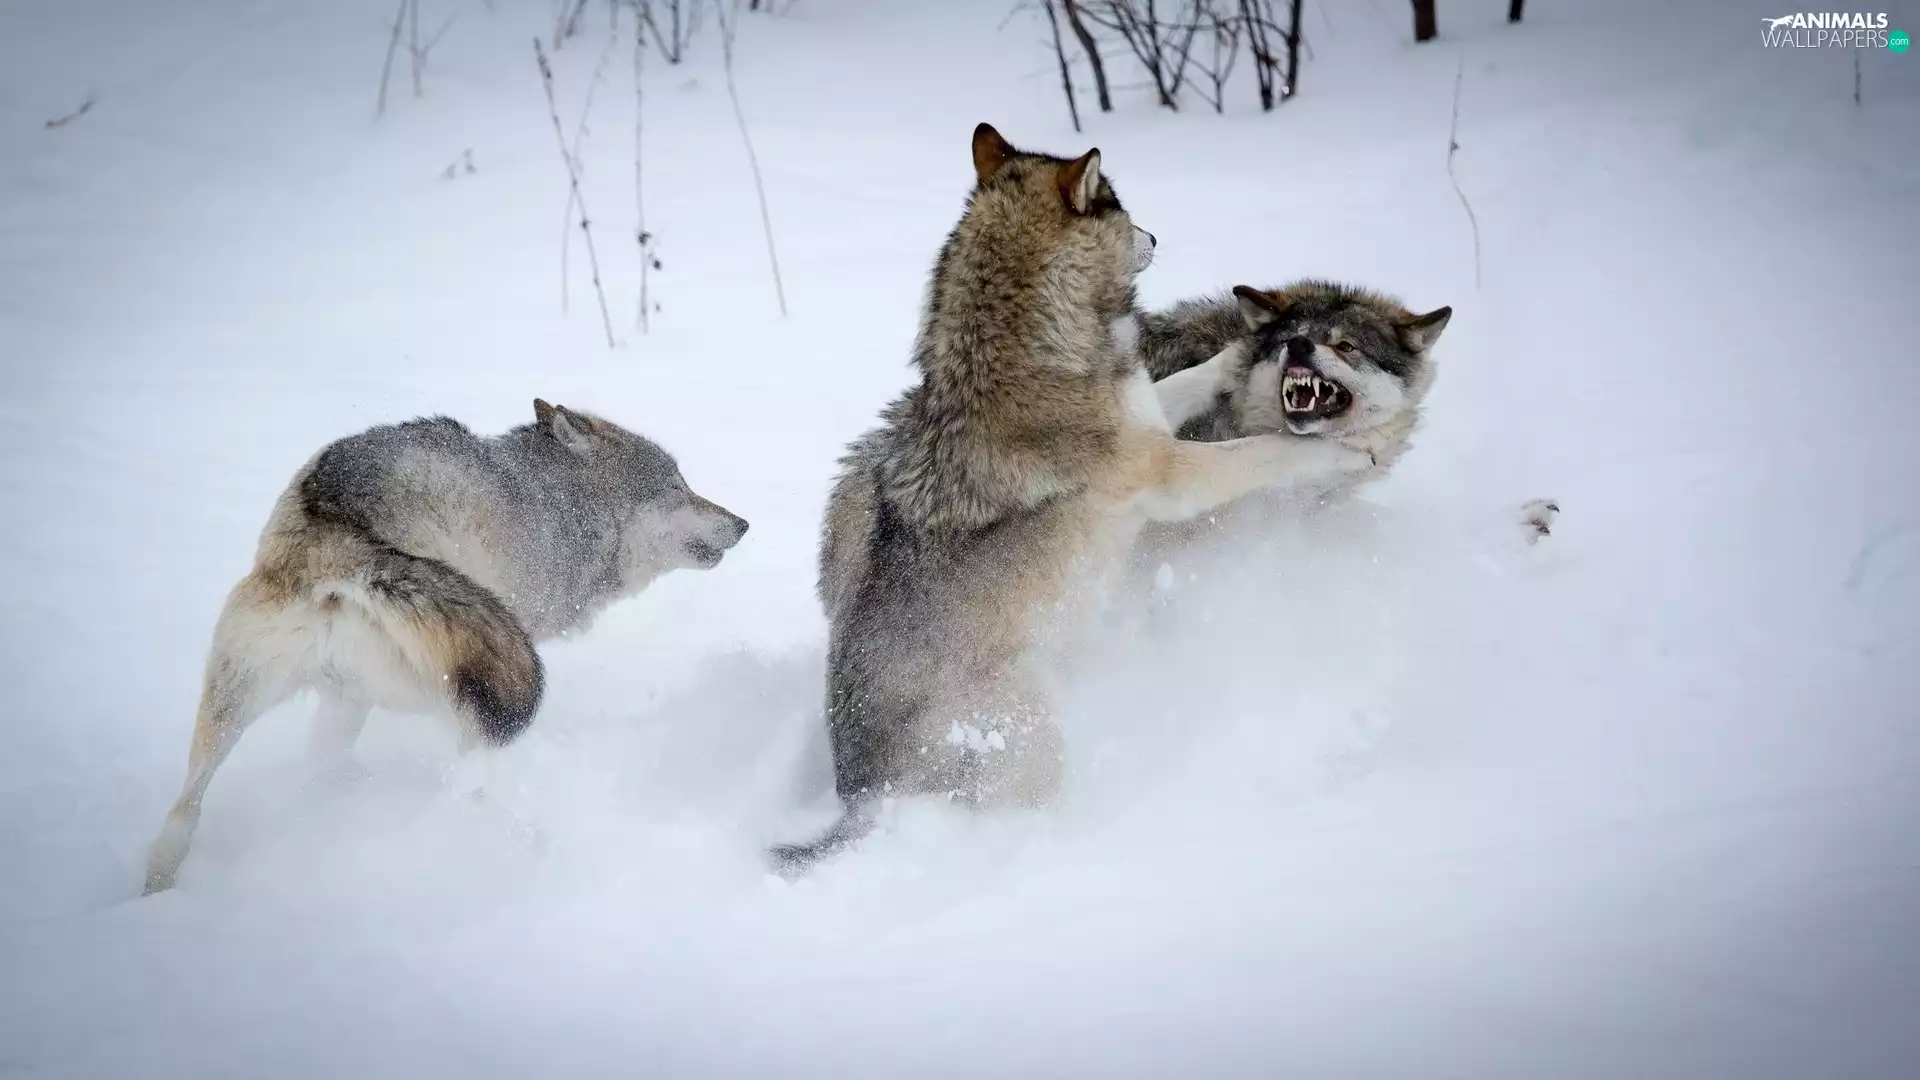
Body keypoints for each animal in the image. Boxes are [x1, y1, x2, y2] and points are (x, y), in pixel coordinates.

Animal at [143, 399, 749, 894]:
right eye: (678, 487)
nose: (743, 523)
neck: (559, 510)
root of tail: (338, 540)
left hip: (265, 707)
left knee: (189, 811)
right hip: (468, 693)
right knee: (468, 782)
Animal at [771, 125, 1374, 873]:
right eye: (1119, 203)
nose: (1154, 235)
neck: (1029, 348)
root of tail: (862, 794)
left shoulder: (1150, 416)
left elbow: (1194, 379)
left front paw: (1237, 352)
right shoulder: (1173, 476)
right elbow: (1268, 451)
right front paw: (1341, 452)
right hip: (1033, 735)